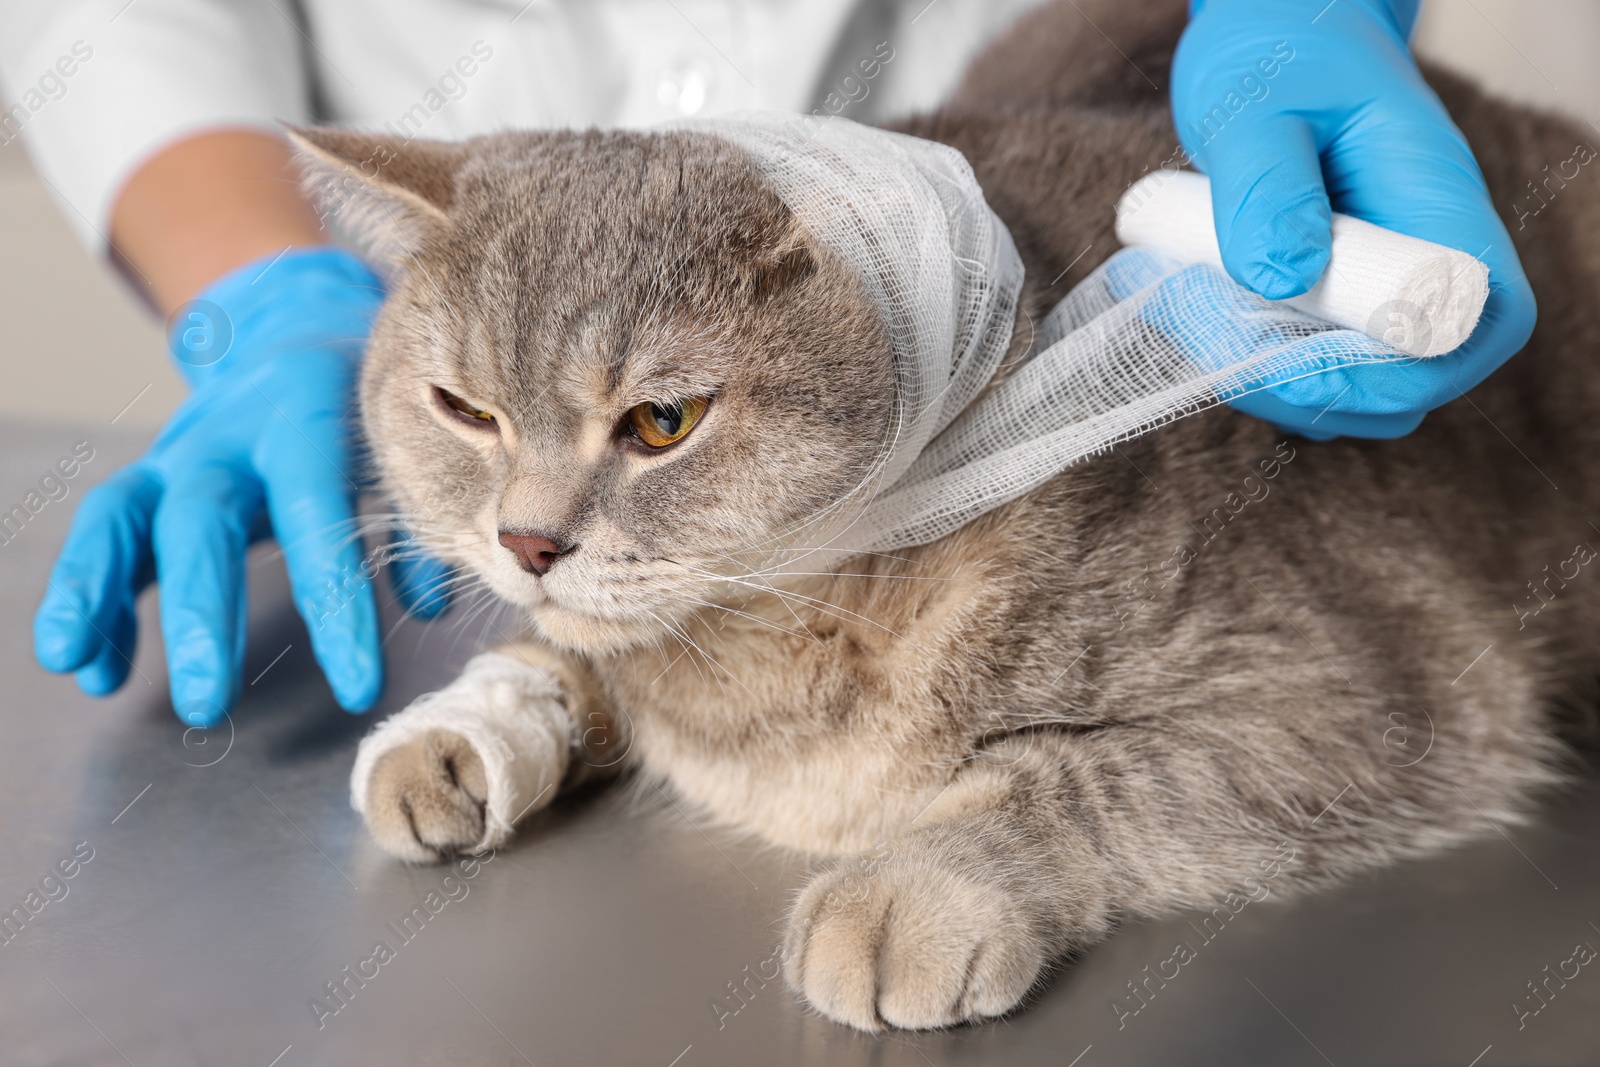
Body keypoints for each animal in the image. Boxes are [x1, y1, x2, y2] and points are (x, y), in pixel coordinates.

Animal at [288, 0, 1600, 1036]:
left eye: (662, 421)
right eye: (464, 410)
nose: (527, 541)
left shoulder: (1373, 688)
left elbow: (1075, 770)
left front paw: (910, 887)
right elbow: (565, 655)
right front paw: (477, 720)